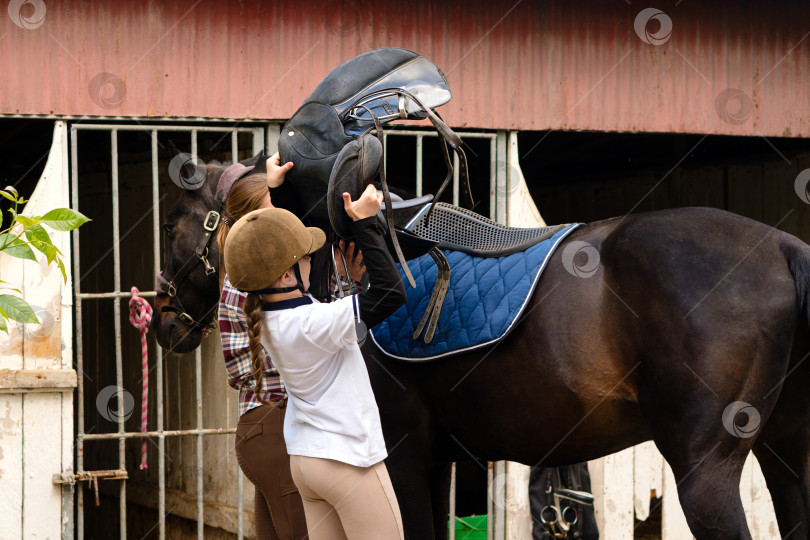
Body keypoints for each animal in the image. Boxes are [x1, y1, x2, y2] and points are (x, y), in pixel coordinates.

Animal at [153, 156, 808, 540]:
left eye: (170, 225)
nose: (159, 318)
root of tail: (782, 247)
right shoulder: (430, 461)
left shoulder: (402, 460)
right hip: (783, 457)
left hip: (704, 472)